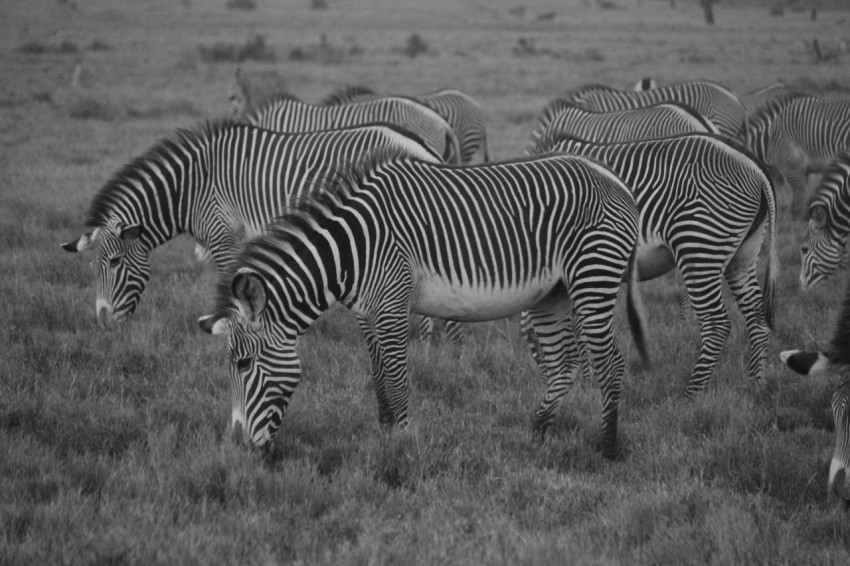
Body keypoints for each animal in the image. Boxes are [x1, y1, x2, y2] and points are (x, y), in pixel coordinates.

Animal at [60, 120, 442, 325]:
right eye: (92, 266)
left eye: (115, 262)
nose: (103, 322)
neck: (191, 188)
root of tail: (421, 146)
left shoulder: (222, 237)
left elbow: (229, 280)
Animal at [198, 150, 648, 459]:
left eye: (242, 364)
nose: (238, 449)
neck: (350, 251)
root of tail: (614, 179)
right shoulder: (367, 313)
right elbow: (379, 376)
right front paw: (384, 436)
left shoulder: (393, 305)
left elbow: (397, 381)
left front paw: (403, 446)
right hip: (552, 294)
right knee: (563, 365)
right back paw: (536, 434)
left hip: (592, 277)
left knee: (610, 362)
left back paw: (607, 448)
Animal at [532, 132, 779, 395]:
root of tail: (754, 163)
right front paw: (586, 383)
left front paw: (582, 385)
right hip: (743, 254)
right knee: (757, 316)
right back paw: (756, 384)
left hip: (700, 247)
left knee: (717, 324)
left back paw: (691, 393)